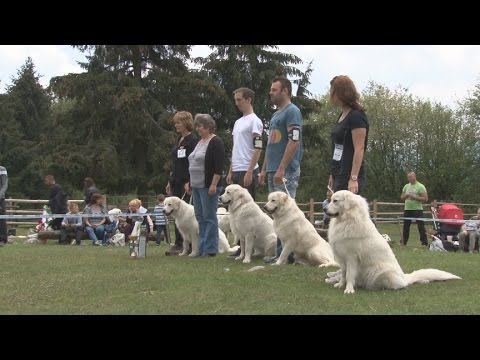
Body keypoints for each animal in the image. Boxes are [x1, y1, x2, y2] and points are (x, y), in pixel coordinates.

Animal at [326, 190, 462, 294]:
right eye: (331, 199)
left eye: (335, 201)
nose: (324, 209)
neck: (347, 220)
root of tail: (404, 277)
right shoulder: (343, 258)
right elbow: (343, 274)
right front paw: (340, 285)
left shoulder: (352, 257)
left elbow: (349, 274)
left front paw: (349, 289)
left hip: (382, 271)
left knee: (403, 285)